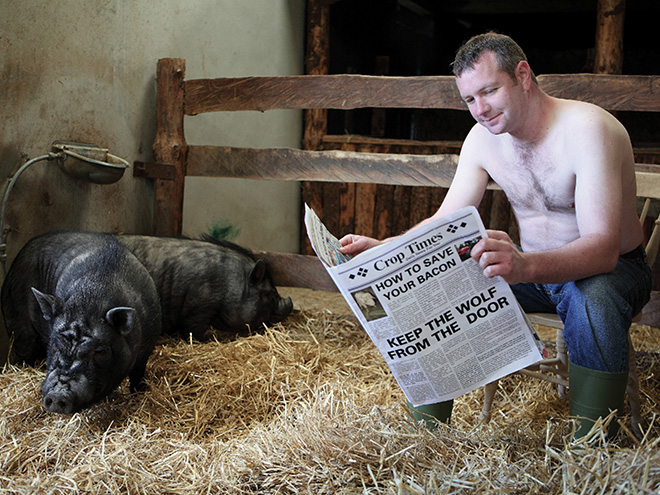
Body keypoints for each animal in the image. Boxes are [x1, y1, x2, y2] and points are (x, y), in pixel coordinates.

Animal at [1, 232, 162, 414]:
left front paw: (139, 394)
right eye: (55, 344)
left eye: (98, 351)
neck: (91, 297)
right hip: (19, 327)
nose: (57, 396)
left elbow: (137, 375)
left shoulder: (147, 347)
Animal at [119, 234, 294, 340]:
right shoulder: (199, 308)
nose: (290, 302)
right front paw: (208, 339)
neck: (231, 285)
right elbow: (193, 330)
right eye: (268, 294)